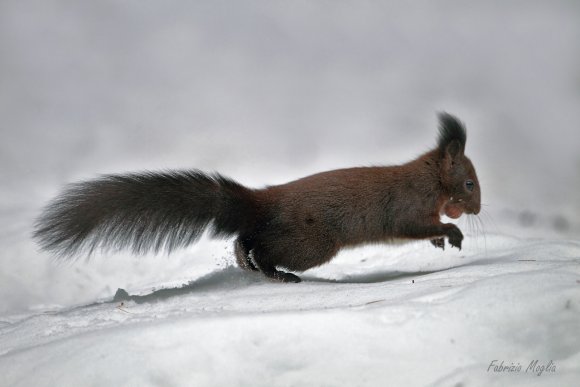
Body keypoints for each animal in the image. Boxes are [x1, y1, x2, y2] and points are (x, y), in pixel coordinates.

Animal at [34, 112, 482, 282]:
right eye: (469, 184)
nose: (477, 209)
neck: (430, 179)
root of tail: (264, 202)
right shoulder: (408, 206)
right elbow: (411, 225)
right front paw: (451, 233)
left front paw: (440, 239)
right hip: (312, 243)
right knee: (263, 247)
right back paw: (277, 273)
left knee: (246, 239)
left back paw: (246, 263)